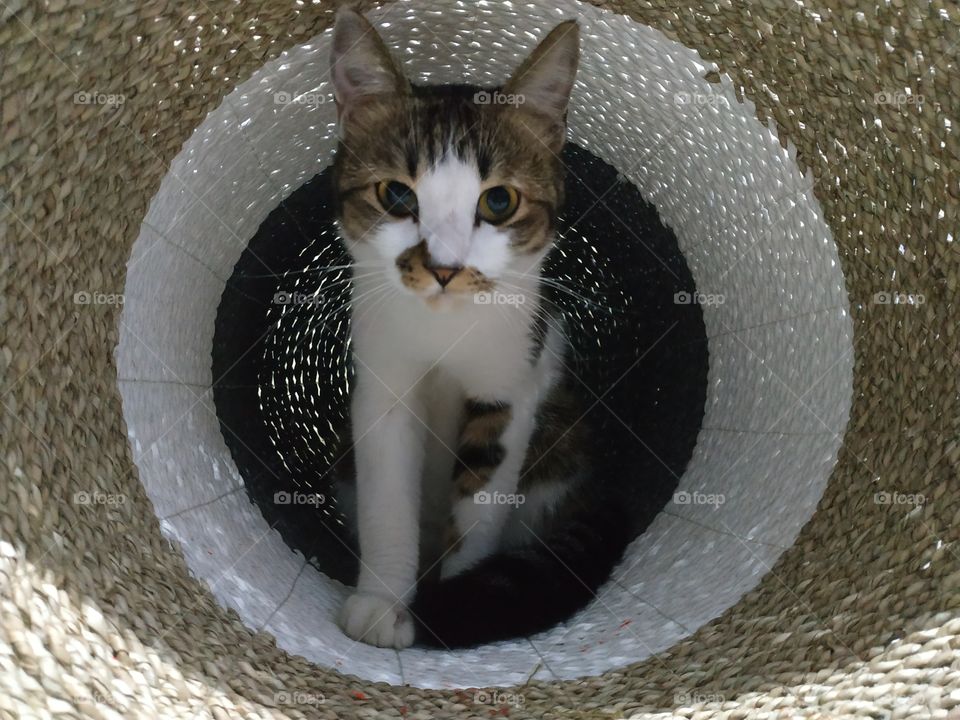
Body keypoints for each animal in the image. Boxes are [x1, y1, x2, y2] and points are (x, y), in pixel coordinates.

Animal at [326, 7, 632, 648]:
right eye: (396, 194)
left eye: (498, 203)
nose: (444, 268)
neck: (446, 328)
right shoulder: (383, 385)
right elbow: (387, 501)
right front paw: (383, 602)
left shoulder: (512, 383)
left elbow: (481, 508)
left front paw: (450, 603)